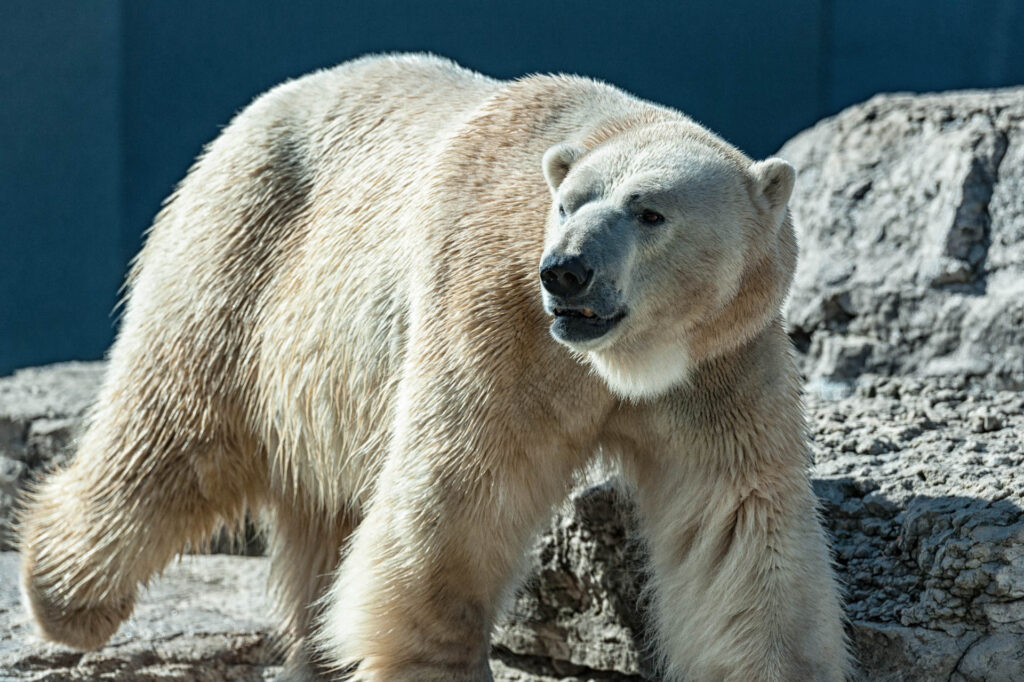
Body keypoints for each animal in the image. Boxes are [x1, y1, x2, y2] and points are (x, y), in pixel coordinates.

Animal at [18, 54, 847, 679]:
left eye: (650, 212)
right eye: (569, 204)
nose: (566, 273)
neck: (626, 362)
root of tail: (255, 113)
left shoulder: (721, 364)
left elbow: (737, 529)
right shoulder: (496, 316)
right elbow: (456, 499)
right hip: (242, 256)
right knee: (173, 433)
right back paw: (64, 595)